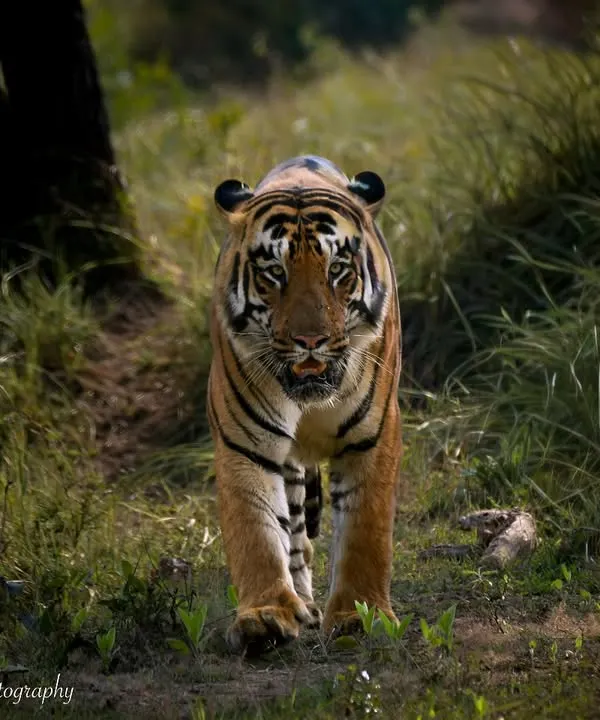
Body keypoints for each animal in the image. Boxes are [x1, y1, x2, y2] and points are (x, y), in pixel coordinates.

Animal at [207, 155, 402, 654]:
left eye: (338, 269)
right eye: (274, 273)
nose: (310, 340)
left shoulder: (372, 436)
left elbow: (365, 532)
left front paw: (360, 616)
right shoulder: (246, 443)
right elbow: (255, 531)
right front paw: (264, 616)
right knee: (294, 535)